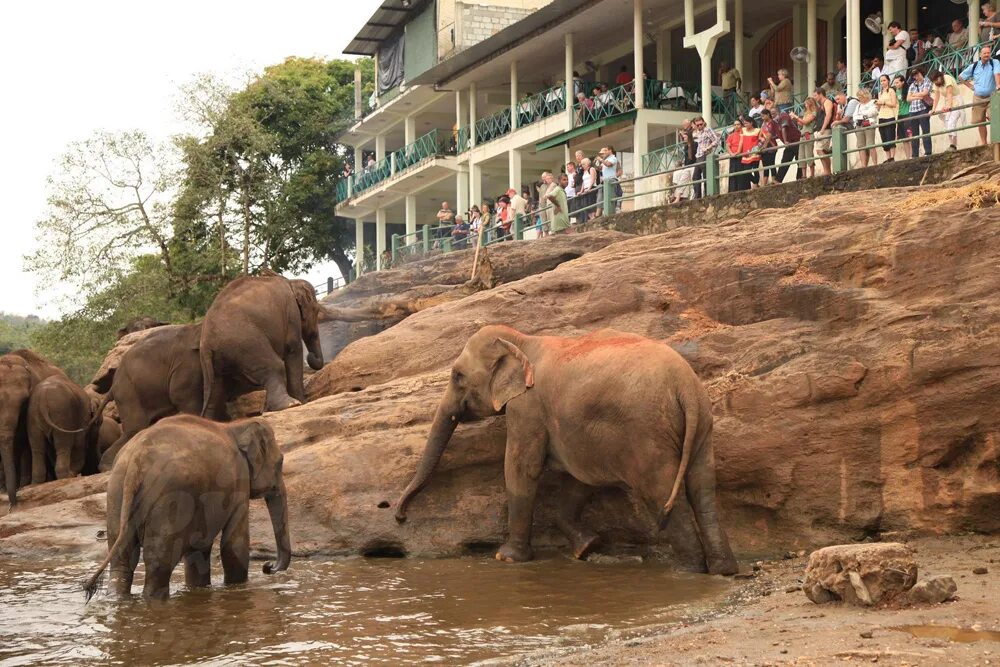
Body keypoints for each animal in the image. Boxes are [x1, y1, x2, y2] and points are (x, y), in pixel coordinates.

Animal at [82, 414, 290, 604]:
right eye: (280, 462)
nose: (268, 566)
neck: (235, 425)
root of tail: (135, 461)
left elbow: (199, 548)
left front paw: (198, 589)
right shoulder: (239, 483)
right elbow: (234, 544)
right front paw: (237, 588)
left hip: (116, 493)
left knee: (122, 561)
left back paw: (118, 600)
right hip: (170, 502)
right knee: (158, 565)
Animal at [394, 324, 740, 576]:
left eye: (457, 376)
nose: (400, 517)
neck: (521, 340)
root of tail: (686, 387)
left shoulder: (528, 407)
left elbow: (521, 469)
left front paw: (506, 559)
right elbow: (580, 478)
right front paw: (588, 547)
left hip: (648, 431)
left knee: (661, 492)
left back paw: (686, 572)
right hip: (701, 425)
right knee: (702, 488)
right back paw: (724, 571)